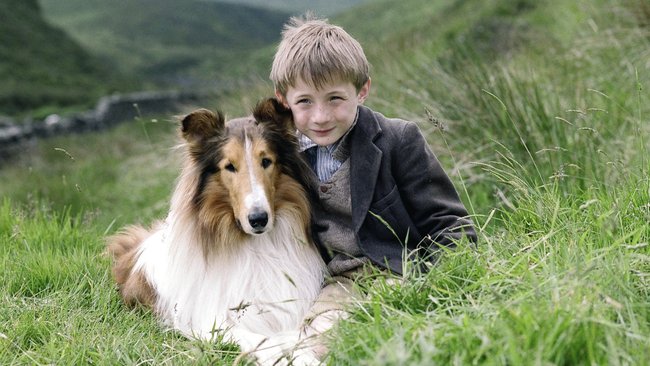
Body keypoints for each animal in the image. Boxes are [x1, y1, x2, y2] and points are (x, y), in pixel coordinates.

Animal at [109, 97, 330, 364]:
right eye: (230, 166)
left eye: (266, 161)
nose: (258, 219)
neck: (257, 248)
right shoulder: (214, 322)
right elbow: (266, 341)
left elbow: (294, 336)